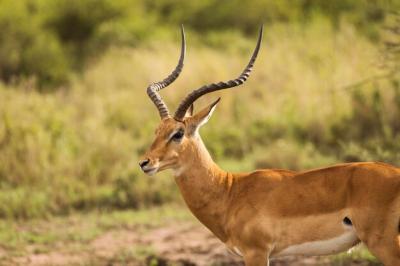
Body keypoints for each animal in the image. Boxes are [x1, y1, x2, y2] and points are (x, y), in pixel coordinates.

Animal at [138, 25, 400, 266]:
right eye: (157, 131)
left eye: (178, 133)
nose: (145, 162)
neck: (229, 192)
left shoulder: (256, 252)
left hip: (384, 242)